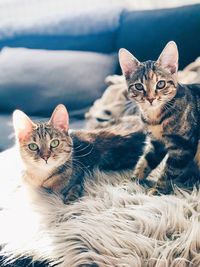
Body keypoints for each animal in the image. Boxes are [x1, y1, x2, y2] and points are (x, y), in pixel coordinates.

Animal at [12, 103, 147, 202]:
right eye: (33, 146)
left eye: (54, 143)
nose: (45, 157)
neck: (41, 177)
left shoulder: (80, 174)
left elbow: (74, 186)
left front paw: (70, 196)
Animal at [119, 40, 200, 194]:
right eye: (139, 86)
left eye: (161, 84)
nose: (150, 98)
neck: (155, 117)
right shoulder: (156, 143)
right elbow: (145, 161)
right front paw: (132, 182)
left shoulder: (183, 147)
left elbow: (169, 172)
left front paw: (156, 192)